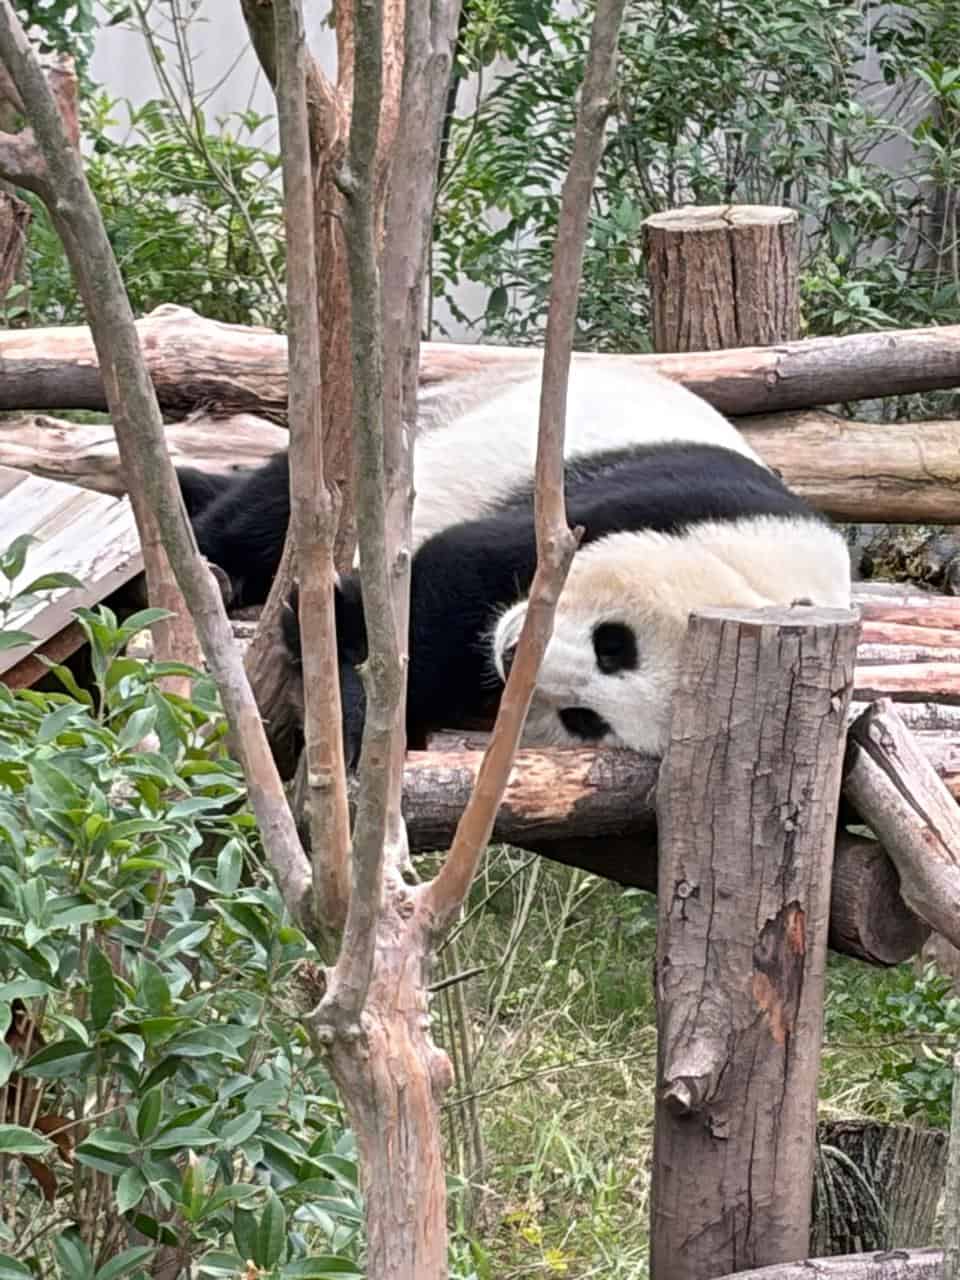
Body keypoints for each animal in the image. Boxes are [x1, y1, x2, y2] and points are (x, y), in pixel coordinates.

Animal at [281, 361, 851, 765]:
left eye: (584, 721)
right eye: (614, 644)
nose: (513, 656)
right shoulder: (675, 505)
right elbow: (464, 567)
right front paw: (357, 698)